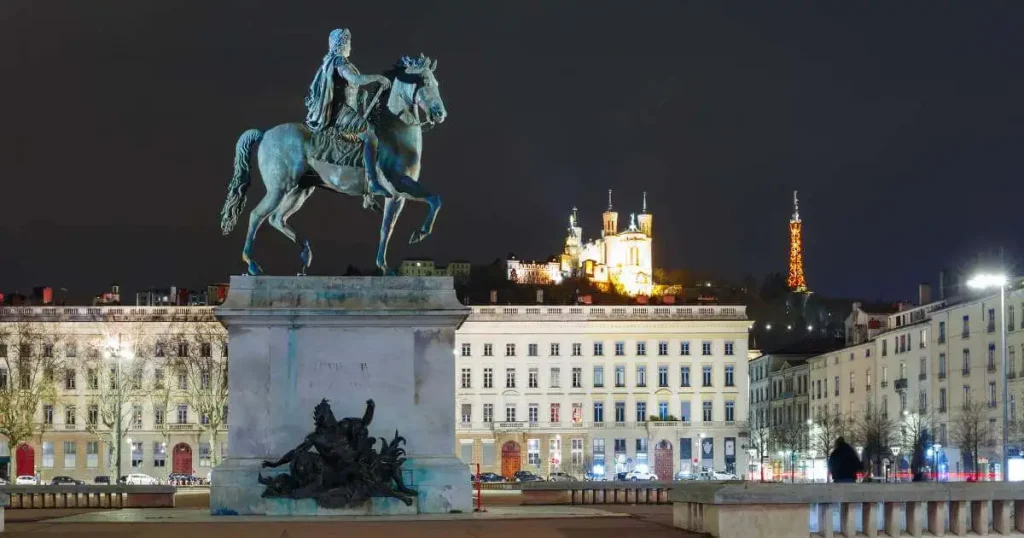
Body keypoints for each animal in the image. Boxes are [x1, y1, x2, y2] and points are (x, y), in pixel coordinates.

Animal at [218, 56, 446, 274]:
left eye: (437, 83)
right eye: (426, 82)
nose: (440, 114)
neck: (393, 131)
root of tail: (265, 133)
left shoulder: (397, 196)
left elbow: (386, 229)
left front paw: (385, 267)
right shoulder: (399, 184)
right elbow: (435, 199)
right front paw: (419, 234)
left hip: (300, 190)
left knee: (276, 218)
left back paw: (305, 254)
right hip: (279, 188)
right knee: (257, 215)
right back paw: (253, 265)